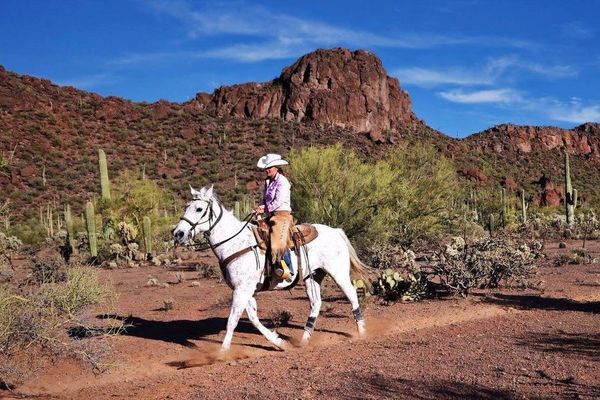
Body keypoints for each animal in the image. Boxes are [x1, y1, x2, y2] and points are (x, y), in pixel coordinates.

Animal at [171, 184, 370, 354]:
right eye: (186, 207)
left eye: (199, 209)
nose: (178, 233)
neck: (235, 242)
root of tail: (336, 231)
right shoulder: (245, 290)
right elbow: (253, 318)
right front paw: (279, 342)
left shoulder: (242, 289)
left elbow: (232, 320)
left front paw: (222, 353)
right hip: (312, 276)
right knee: (316, 303)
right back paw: (304, 340)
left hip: (338, 273)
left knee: (352, 294)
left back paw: (362, 333)